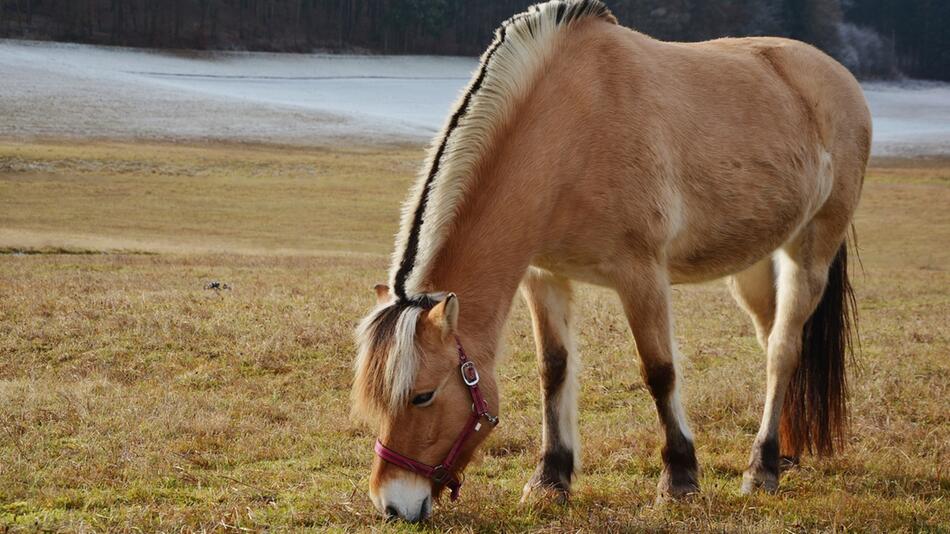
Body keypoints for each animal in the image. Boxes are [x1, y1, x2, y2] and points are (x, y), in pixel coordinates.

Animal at [352, 0, 872, 524]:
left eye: (423, 395)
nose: (393, 504)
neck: (571, 128)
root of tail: (838, 78)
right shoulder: (544, 276)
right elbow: (553, 370)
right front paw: (550, 479)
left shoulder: (641, 275)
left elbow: (659, 371)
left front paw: (679, 480)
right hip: (754, 266)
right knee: (773, 343)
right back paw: (785, 453)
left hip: (810, 251)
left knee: (783, 350)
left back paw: (761, 469)